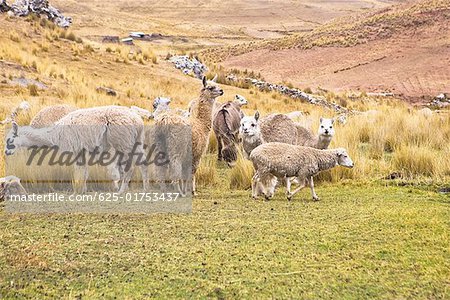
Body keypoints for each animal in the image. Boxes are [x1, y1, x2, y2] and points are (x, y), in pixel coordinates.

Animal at [4, 106, 149, 193]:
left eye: (10, 140)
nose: (6, 152)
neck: (54, 135)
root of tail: (137, 120)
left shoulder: (74, 148)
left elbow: (79, 172)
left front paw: (78, 191)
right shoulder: (82, 151)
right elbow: (85, 172)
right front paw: (83, 190)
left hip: (123, 141)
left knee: (130, 166)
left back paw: (122, 191)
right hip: (136, 140)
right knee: (143, 162)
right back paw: (145, 188)